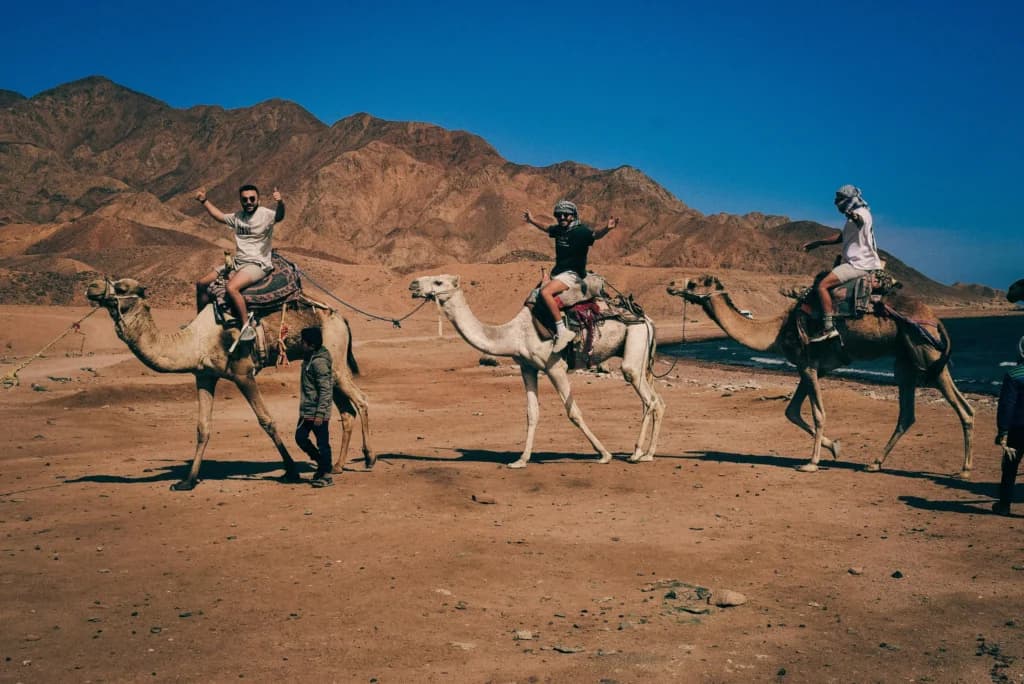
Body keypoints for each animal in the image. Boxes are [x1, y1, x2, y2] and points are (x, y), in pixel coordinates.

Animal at [85, 277, 374, 490]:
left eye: (122, 288)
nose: (92, 286)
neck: (196, 341)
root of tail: (342, 318)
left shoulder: (243, 373)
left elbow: (267, 420)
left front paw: (291, 470)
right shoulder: (204, 376)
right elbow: (203, 428)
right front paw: (187, 481)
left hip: (335, 357)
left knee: (360, 400)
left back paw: (369, 458)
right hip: (326, 363)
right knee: (346, 411)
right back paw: (337, 466)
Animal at [409, 274, 665, 467]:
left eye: (439, 281)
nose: (413, 285)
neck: (514, 334)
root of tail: (647, 318)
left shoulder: (555, 367)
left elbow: (573, 412)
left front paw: (604, 454)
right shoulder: (527, 367)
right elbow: (532, 413)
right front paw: (521, 460)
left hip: (635, 341)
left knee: (646, 396)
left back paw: (637, 453)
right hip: (641, 354)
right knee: (656, 401)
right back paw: (649, 453)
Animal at [666, 275, 974, 476]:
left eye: (693, 283)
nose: (670, 285)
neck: (776, 330)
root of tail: (935, 318)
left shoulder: (808, 366)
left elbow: (817, 413)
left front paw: (812, 462)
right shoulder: (810, 367)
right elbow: (791, 411)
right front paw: (834, 447)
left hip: (926, 353)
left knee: (963, 408)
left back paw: (964, 470)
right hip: (907, 362)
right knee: (909, 414)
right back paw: (874, 462)